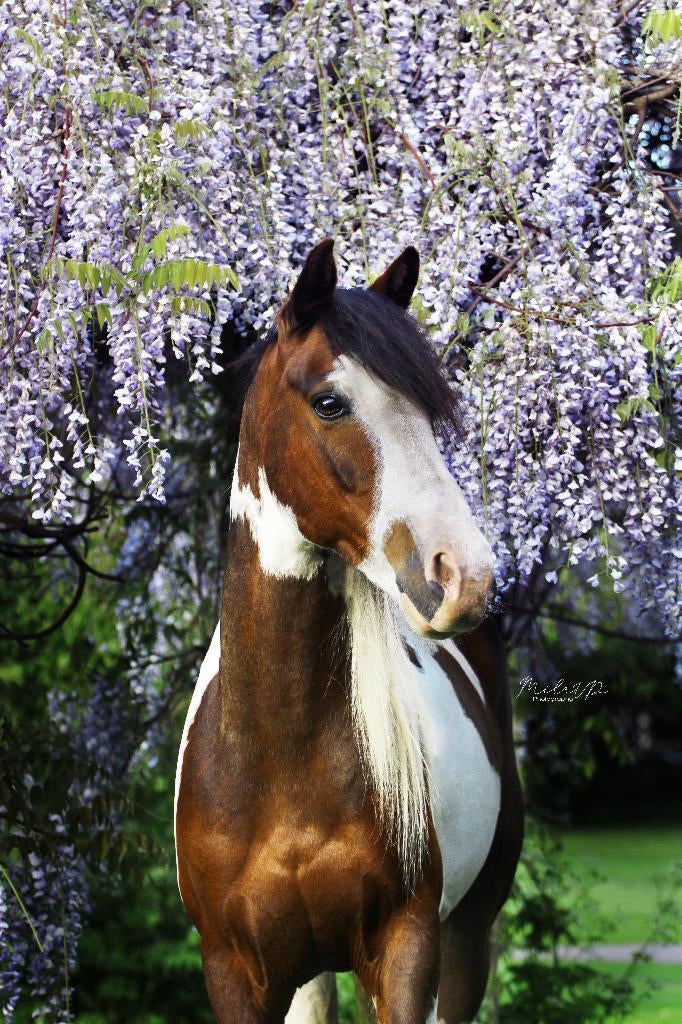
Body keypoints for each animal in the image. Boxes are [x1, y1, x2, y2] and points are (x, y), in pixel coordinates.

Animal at [174, 239, 523, 1024]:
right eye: (329, 403)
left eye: (430, 408)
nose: (464, 574)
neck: (280, 760)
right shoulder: (234, 972)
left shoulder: (405, 950)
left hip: (468, 935)